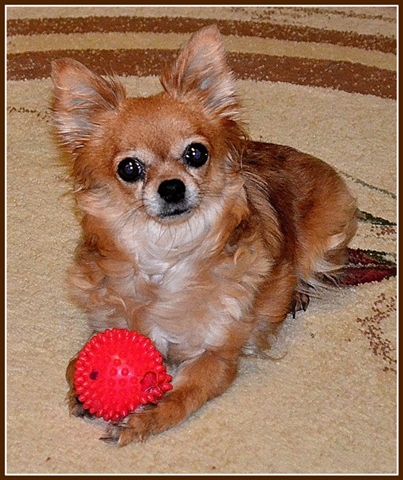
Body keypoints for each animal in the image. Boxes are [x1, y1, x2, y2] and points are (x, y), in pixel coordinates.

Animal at [51, 25, 357, 446]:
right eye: (129, 168)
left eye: (196, 153)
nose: (172, 187)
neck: (167, 251)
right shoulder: (106, 322)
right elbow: (77, 360)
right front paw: (82, 389)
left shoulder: (216, 356)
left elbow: (186, 394)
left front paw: (147, 418)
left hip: (326, 239)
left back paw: (296, 292)